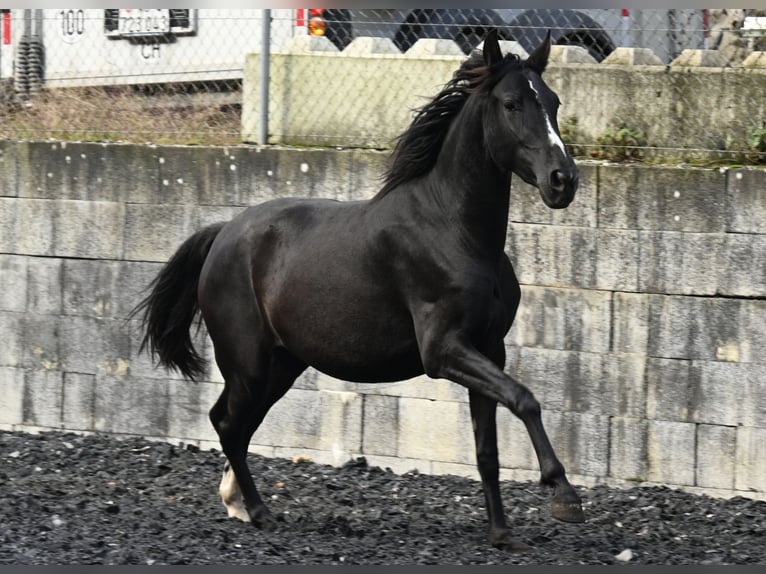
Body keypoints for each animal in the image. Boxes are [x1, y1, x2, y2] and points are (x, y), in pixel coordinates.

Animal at [135, 31, 584, 552]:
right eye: (512, 104)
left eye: (553, 101)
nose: (563, 180)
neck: (456, 232)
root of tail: (223, 233)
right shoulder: (444, 351)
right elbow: (525, 398)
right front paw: (564, 495)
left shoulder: (490, 349)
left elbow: (487, 448)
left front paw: (500, 532)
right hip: (249, 363)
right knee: (228, 424)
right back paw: (260, 512)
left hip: (281, 365)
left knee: (233, 424)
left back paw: (238, 505)